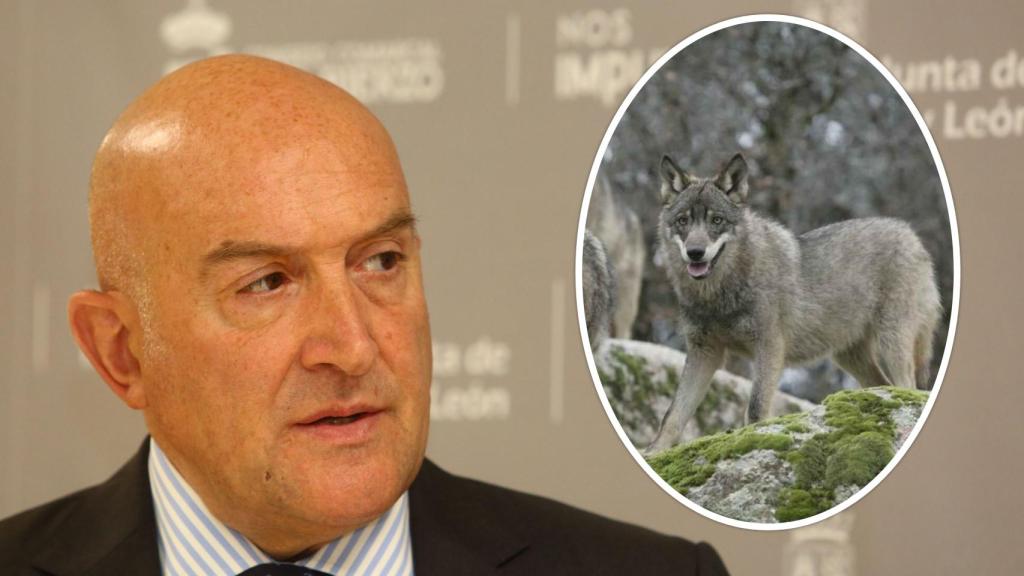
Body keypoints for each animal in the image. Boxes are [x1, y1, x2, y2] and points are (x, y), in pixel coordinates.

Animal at [646, 153, 941, 453]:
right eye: (683, 221)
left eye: (716, 220)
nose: (695, 253)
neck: (718, 294)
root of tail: (911, 235)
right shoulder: (704, 352)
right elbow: (673, 415)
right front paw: (654, 451)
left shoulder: (769, 346)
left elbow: (755, 409)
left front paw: (753, 440)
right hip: (849, 356)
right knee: (885, 386)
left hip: (891, 342)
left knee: (907, 387)